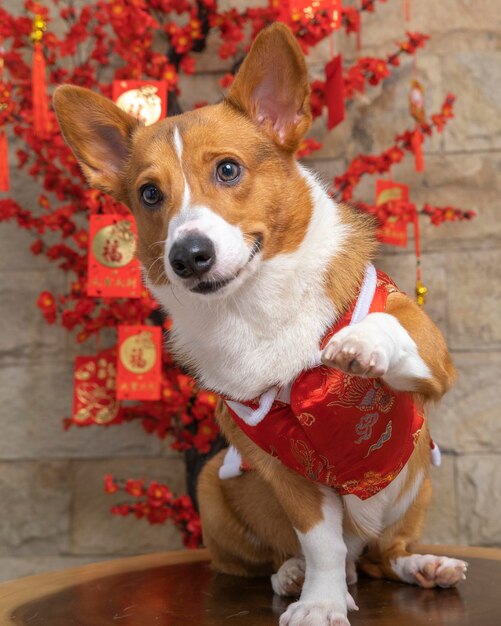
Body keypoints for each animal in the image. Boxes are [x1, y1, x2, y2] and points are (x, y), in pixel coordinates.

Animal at [52, 23, 466, 624]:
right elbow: (321, 542)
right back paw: (294, 575)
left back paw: (425, 565)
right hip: (210, 483)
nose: (187, 255)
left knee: (388, 554)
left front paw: (359, 342)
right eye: (149, 194)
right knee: (317, 558)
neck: (254, 304)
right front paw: (319, 601)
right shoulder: (281, 464)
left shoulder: (431, 355)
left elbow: (392, 328)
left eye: (227, 169)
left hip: (419, 484)